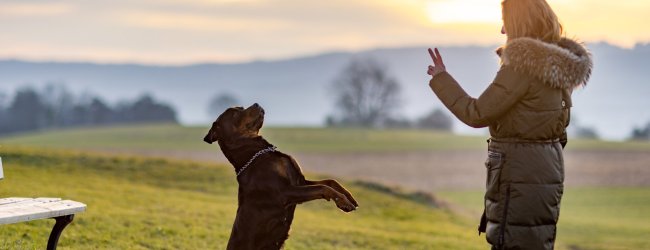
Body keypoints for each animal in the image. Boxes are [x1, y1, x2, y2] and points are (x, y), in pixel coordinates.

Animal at [202, 103, 356, 248]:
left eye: (241, 107)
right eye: (234, 113)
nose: (256, 104)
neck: (255, 153)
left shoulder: (299, 181)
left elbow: (330, 181)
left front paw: (349, 197)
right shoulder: (285, 192)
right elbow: (322, 188)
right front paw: (343, 201)